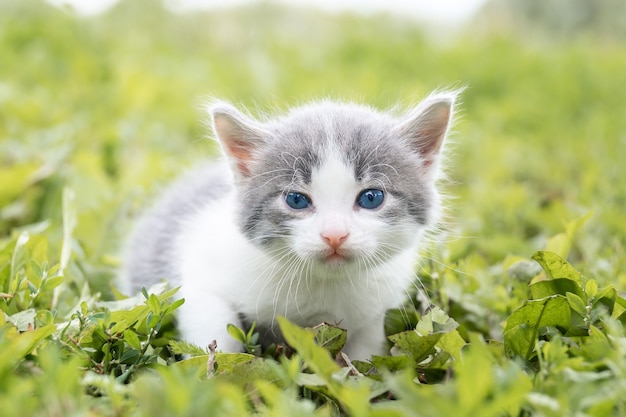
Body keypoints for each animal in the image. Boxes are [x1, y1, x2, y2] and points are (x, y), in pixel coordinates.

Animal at [119, 92, 456, 360]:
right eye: (296, 200)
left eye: (372, 197)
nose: (335, 235)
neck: (324, 286)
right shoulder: (202, 278)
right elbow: (214, 327)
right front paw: (216, 375)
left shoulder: (374, 307)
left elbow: (365, 351)